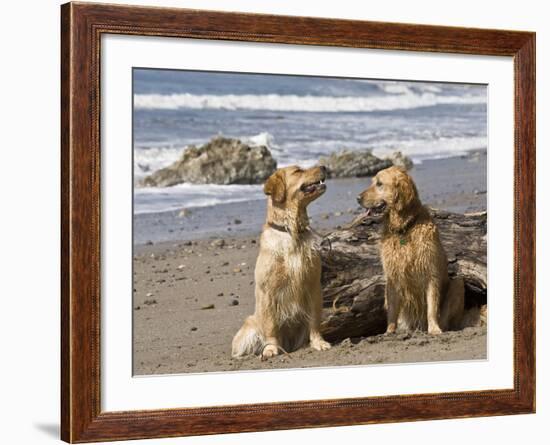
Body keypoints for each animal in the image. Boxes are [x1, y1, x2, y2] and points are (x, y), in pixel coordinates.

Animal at [233, 165, 332, 360]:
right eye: (298, 171)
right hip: (249, 330)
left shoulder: (313, 285)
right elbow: (271, 326)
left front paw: (319, 342)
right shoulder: (268, 292)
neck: (292, 231)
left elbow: (314, 320)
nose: (324, 166)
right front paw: (271, 349)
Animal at [358, 166, 466, 332]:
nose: (357, 198)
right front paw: (389, 331)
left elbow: (432, 307)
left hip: (458, 284)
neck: (404, 228)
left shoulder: (430, 272)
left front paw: (434, 329)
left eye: (379, 183)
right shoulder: (392, 275)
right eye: (373, 182)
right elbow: (392, 310)